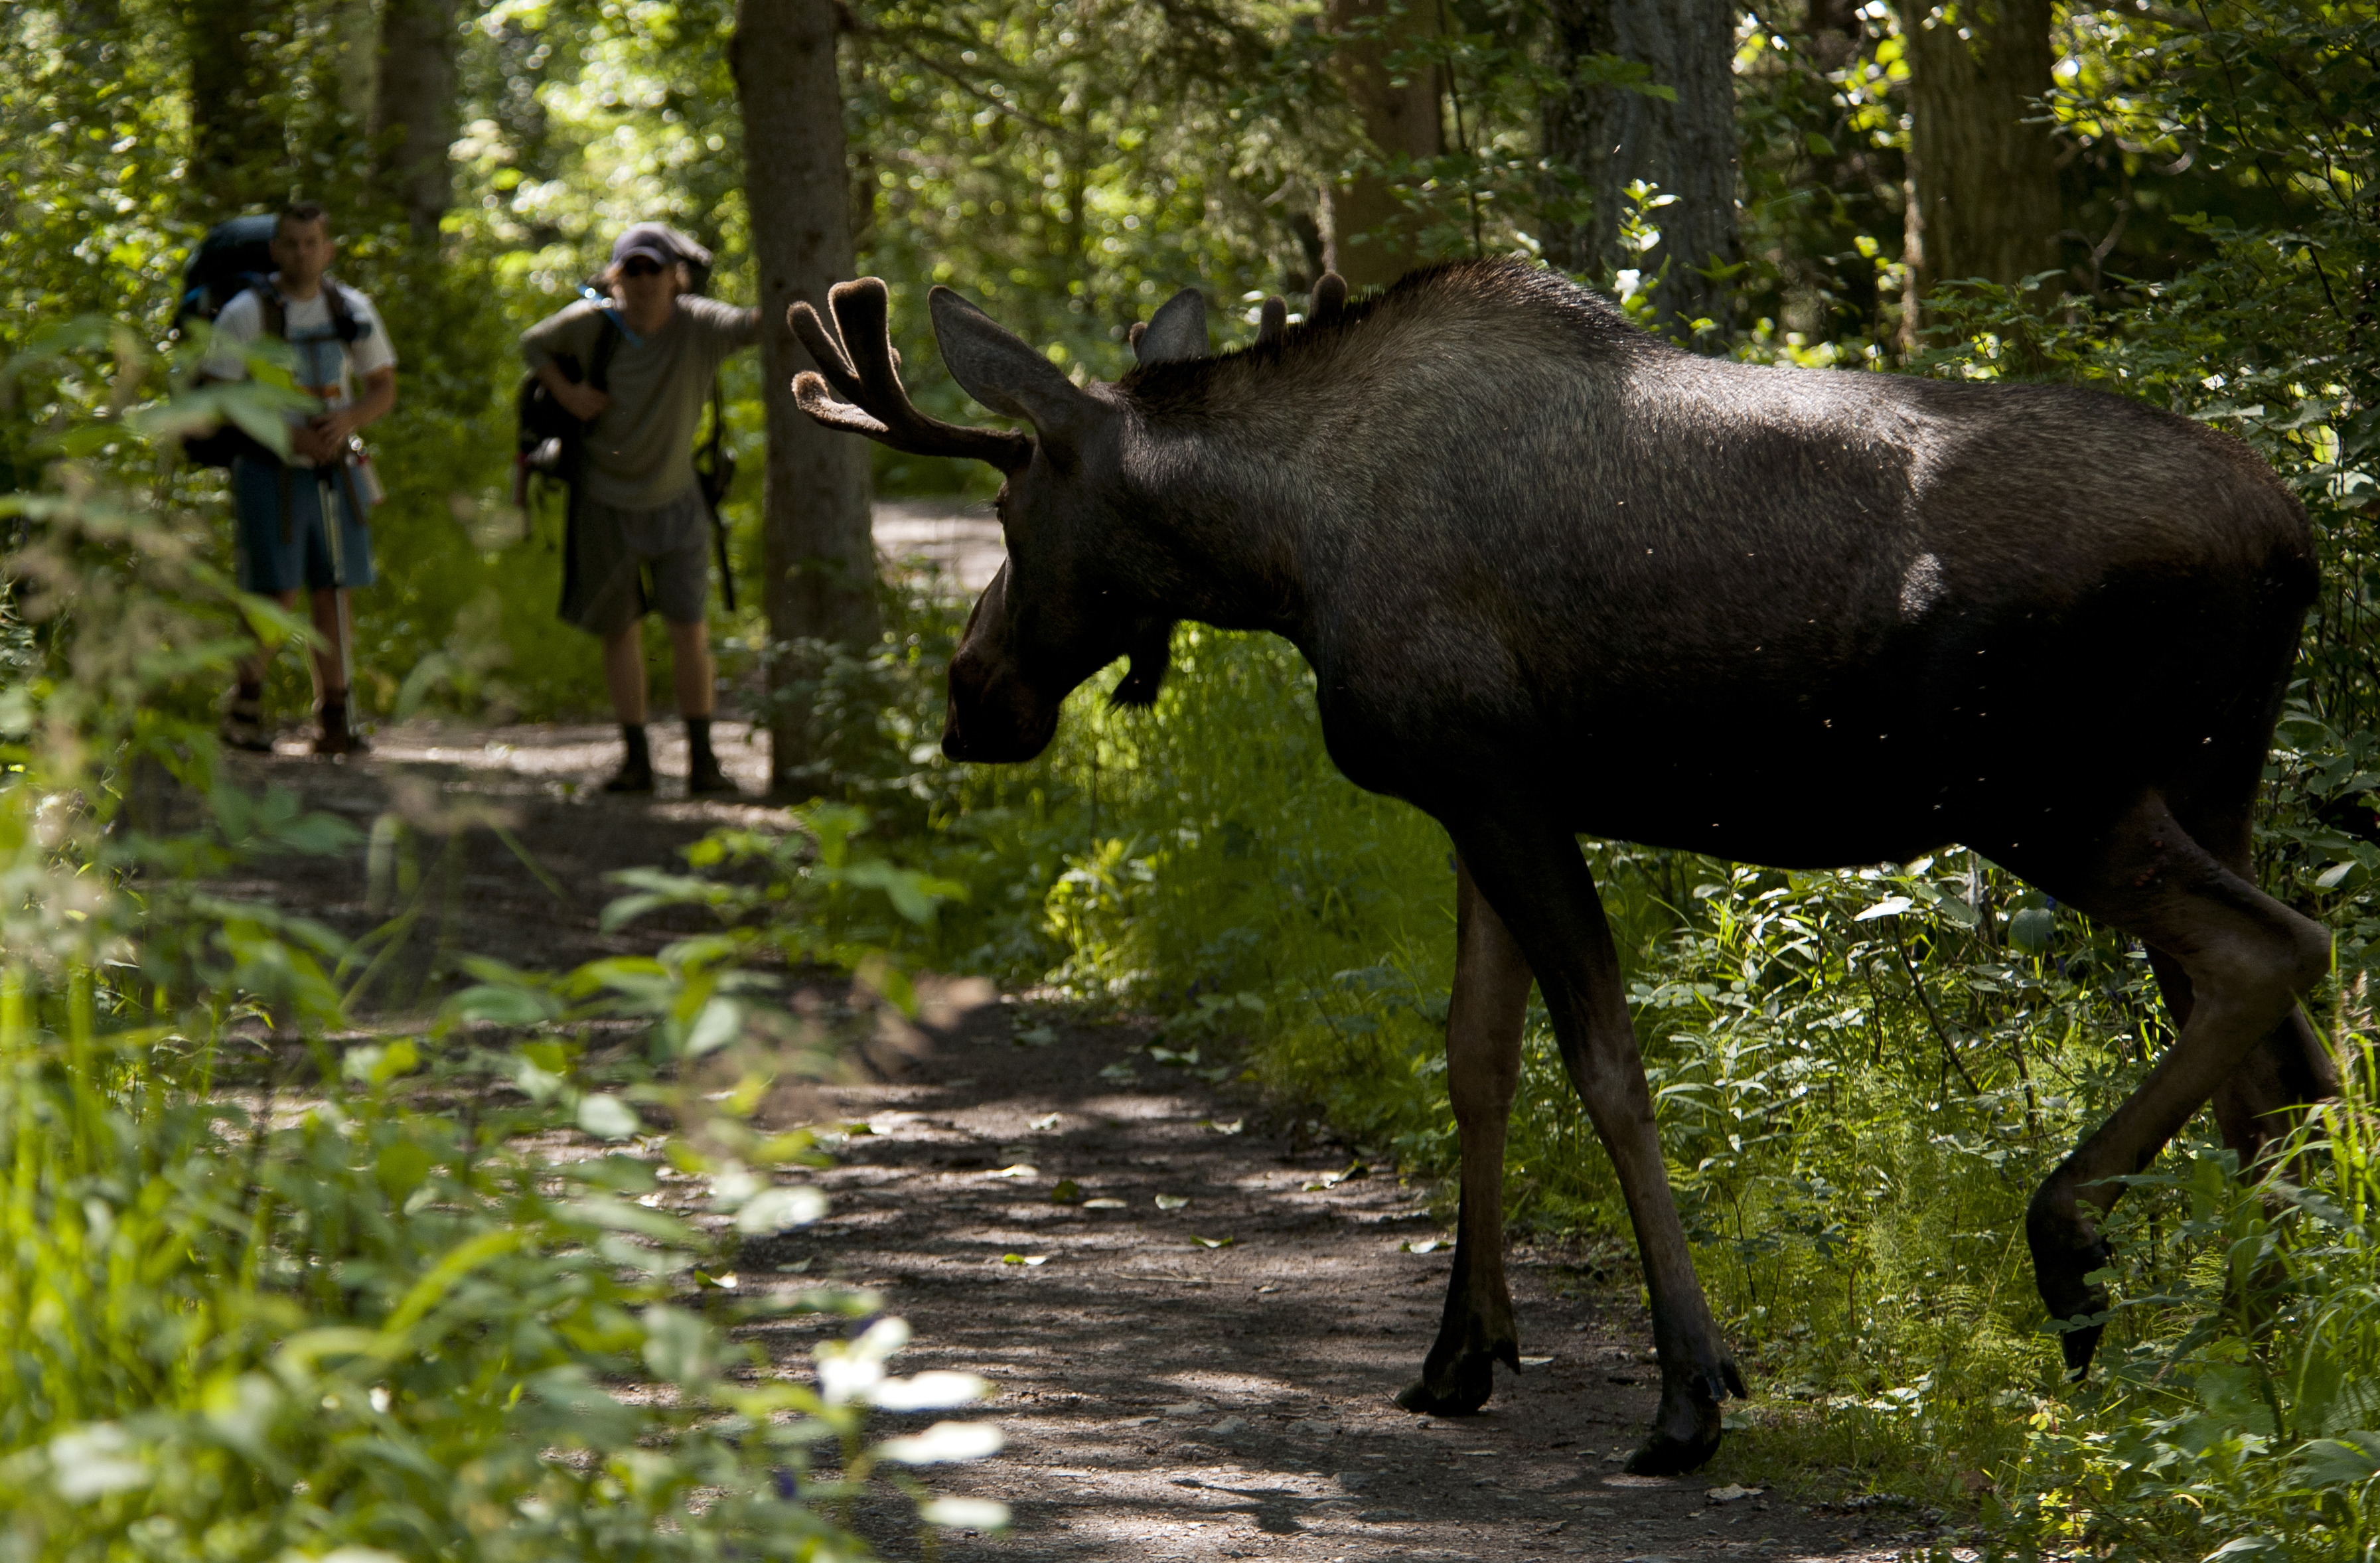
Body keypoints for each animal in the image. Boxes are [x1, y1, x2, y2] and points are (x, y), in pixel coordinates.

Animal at [790, 259, 2332, 1475]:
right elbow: (1475, 1056)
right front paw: (1461, 1350)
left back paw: (2074, 1242)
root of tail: (2293, 536)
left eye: (1008, 521)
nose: (971, 697)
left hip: (2042, 791)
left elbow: (1605, 1068)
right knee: (2283, 1065)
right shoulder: (1480, 801)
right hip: (2210, 777)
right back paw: (2266, 1360)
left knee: (2274, 955)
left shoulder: (1498, 784)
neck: (1281, 558)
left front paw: (1688, 1386)